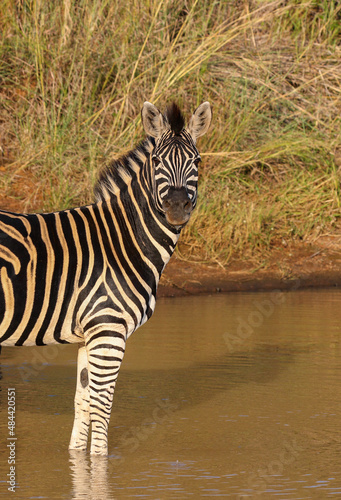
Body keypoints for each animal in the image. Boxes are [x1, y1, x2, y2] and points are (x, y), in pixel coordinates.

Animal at [0, 99, 211, 456]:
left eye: (196, 161)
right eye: (157, 161)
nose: (177, 208)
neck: (123, 240)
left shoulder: (88, 336)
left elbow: (82, 402)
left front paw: (76, 460)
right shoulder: (108, 330)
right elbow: (102, 407)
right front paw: (101, 461)